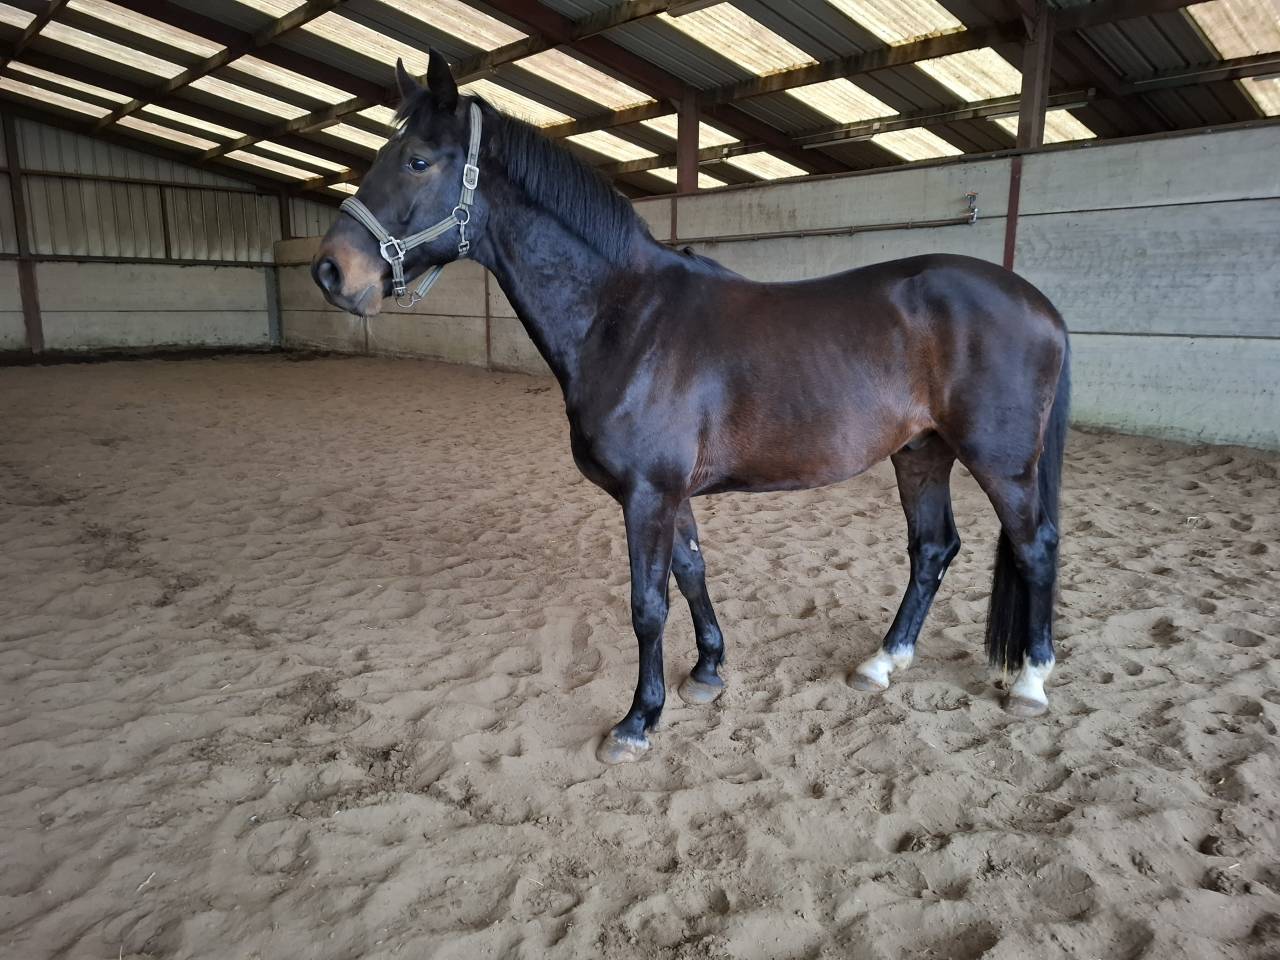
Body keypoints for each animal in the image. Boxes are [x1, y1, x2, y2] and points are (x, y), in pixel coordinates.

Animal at [311, 51, 1071, 765]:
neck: (625, 317)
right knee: (933, 547)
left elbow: (648, 605)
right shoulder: (669, 493)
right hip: (921, 451)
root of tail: (1039, 303)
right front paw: (707, 671)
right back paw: (885, 661)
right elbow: (693, 571)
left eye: (416, 161)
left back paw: (1032, 683)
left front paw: (637, 721)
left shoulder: (647, 493)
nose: (331, 272)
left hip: (1000, 463)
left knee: (1034, 545)